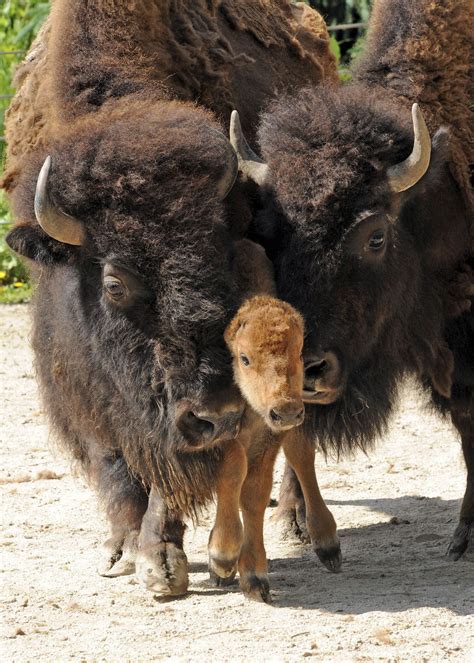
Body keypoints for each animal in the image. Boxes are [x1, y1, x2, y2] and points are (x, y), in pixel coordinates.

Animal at [2, 1, 336, 596]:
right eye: (114, 282)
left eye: (221, 253)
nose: (215, 415)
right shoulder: (83, 383)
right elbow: (115, 461)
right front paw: (121, 547)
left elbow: (175, 470)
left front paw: (160, 560)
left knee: (295, 430)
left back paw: (298, 522)